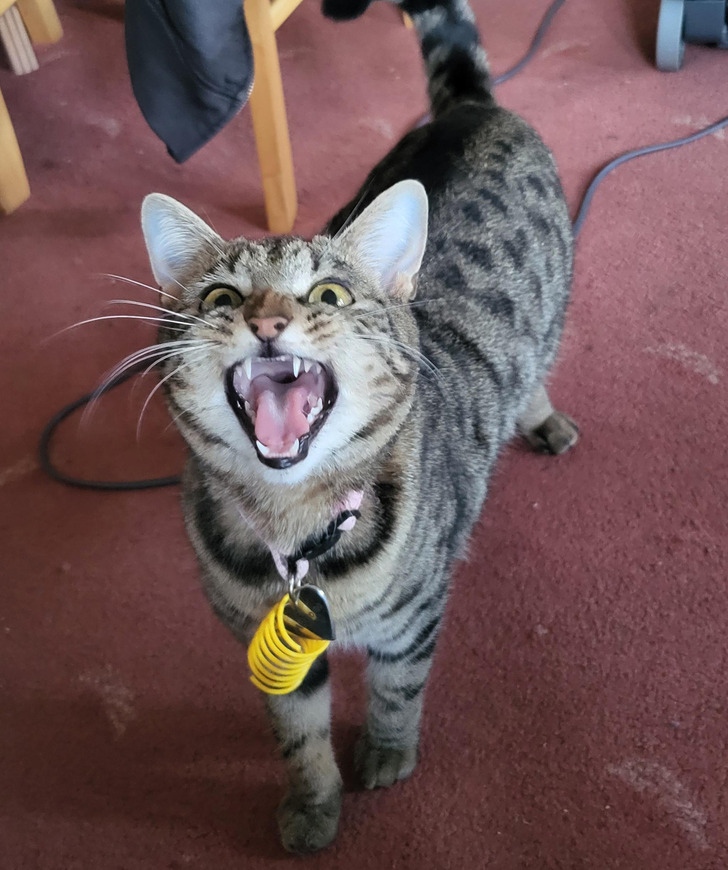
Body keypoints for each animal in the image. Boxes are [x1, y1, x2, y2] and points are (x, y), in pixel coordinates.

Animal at [138, 0, 578, 853]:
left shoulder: (412, 624)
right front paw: (313, 806)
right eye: (219, 298)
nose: (267, 319)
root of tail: (470, 107)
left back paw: (541, 416)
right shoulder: (275, 652)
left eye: (330, 296)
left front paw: (386, 753)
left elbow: (398, 692)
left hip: (555, 304)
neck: (296, 526)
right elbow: (297, 733)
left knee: (537, 363)